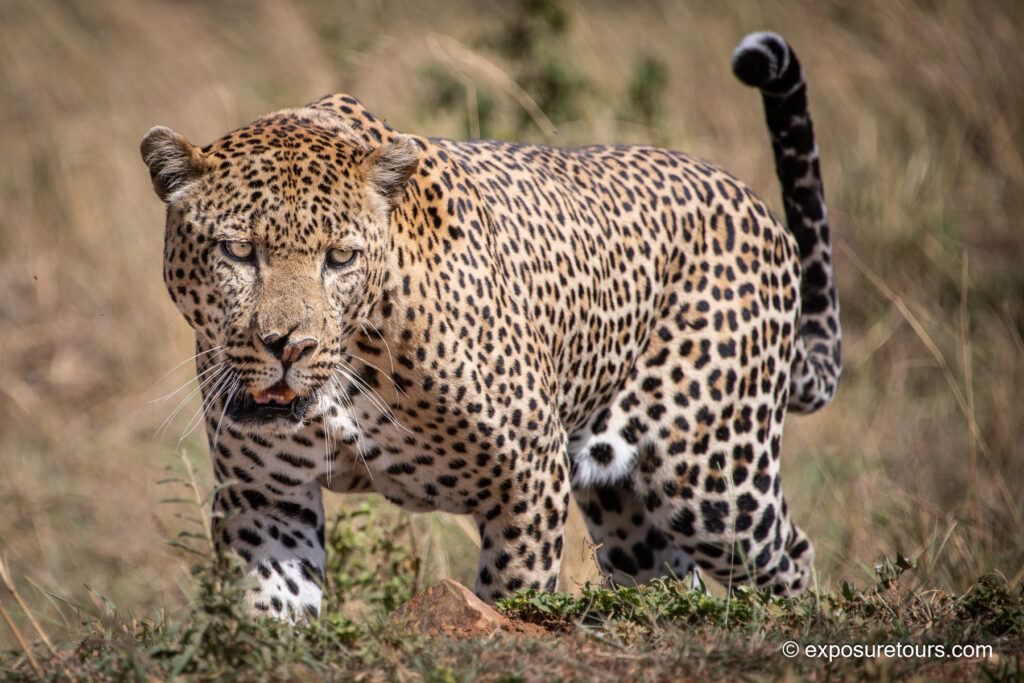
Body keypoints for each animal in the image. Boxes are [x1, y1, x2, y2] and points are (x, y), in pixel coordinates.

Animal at [140, 31, 840, 619]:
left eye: (339, 258)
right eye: (239, 251)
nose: (289, 346)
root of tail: (753, 205)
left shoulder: (529, 477)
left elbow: (516, 594)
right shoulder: (266, 500)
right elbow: (271, 614)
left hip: (713, 478)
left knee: (790, 557)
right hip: (627, 506)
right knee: (669, 577)